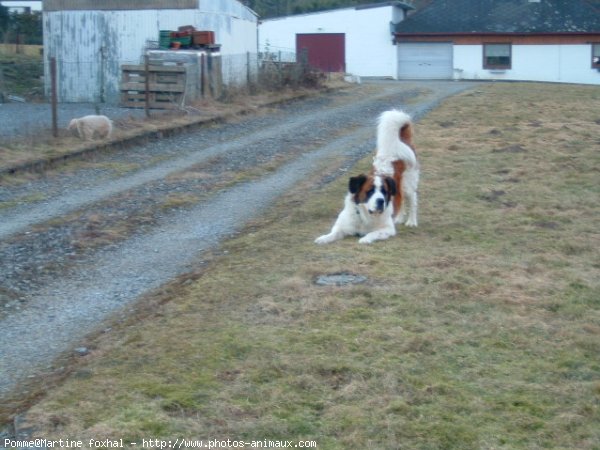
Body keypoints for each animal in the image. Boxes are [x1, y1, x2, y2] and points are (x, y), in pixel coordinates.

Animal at [316, 109, 420, 244]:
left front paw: (365, 239)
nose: (381, 201)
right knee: (400, 200)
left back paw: (411, 221)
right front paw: (323, 238)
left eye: (384, 192)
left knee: (412, 200)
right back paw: (399, 218)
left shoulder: (387, 229)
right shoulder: (342, 225)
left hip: (408, 184)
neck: (364, 215)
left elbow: (374, 233)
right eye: (370, 191)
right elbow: (334, 233)